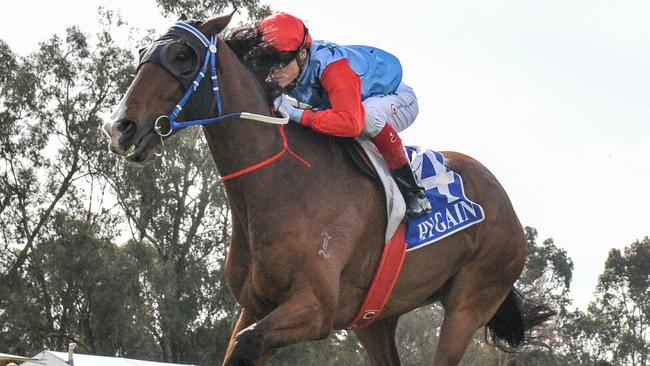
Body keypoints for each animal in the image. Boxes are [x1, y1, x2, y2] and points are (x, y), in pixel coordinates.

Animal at [102, 14, 552, 366]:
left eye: (183, 57)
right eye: (143, 53)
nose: (120, 128)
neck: (282, 182)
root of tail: (506, 205)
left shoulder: (315, 309)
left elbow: (247, 345)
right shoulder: (256, 305)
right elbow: (237, 349)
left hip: (469, 304)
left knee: (373, 119)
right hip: (376, 319)